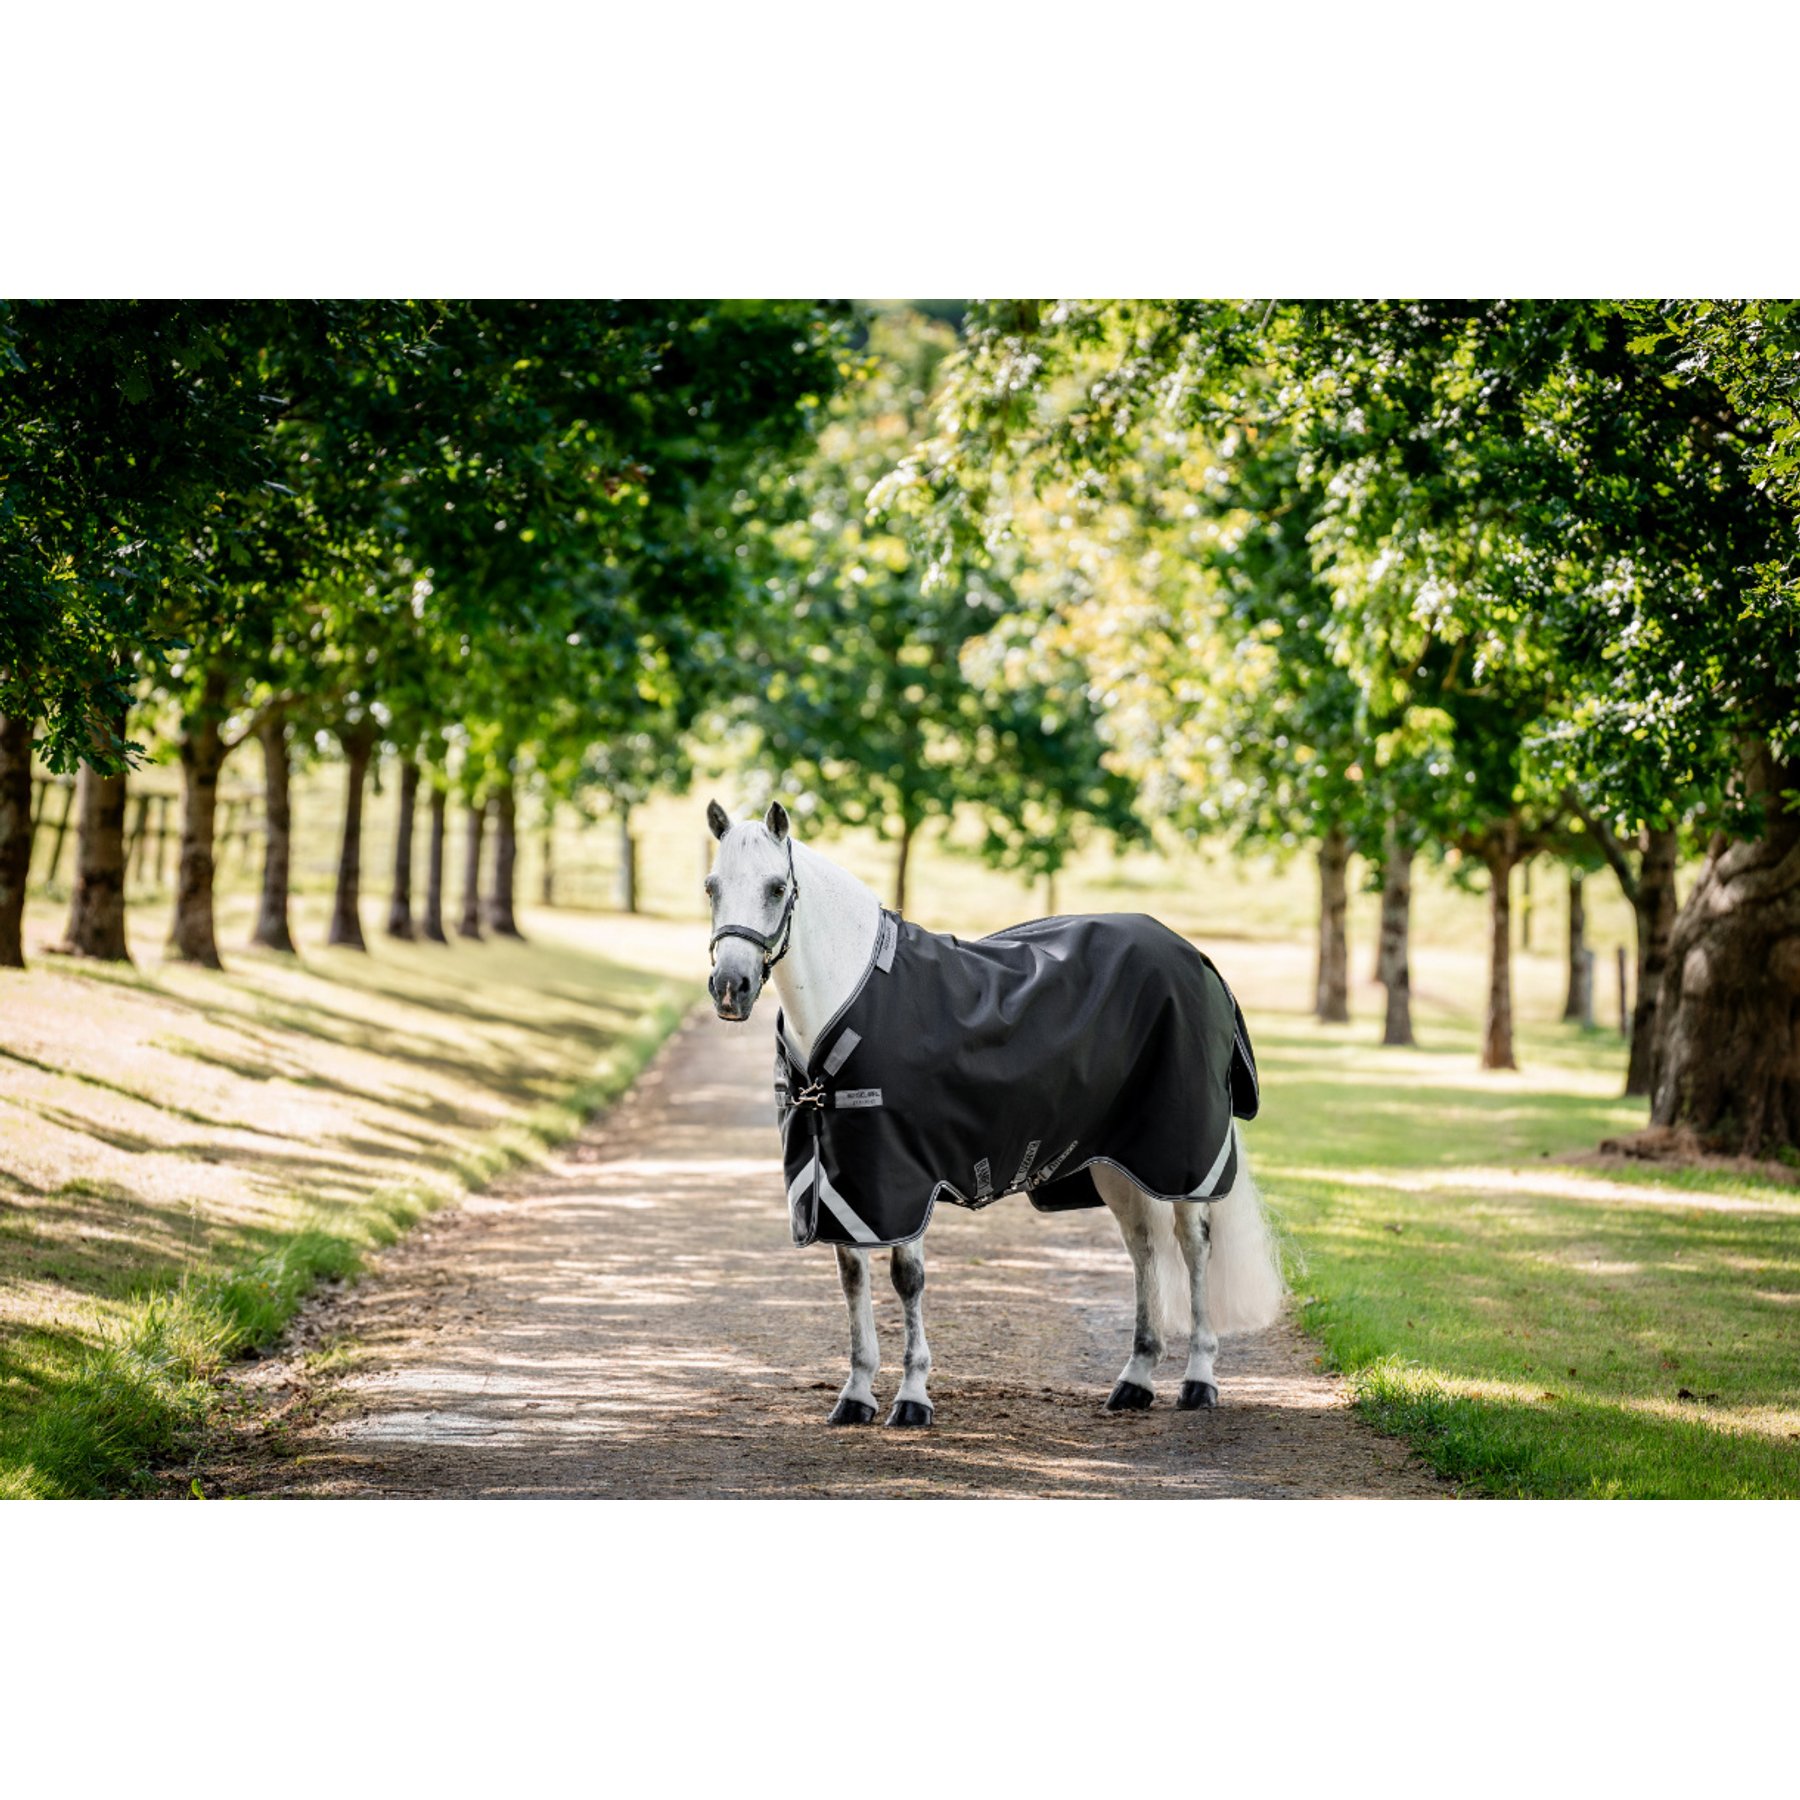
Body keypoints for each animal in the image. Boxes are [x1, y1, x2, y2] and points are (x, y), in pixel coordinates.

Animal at [702, 797, 1285, 1427]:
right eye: (712, 887)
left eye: (776, 887)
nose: (730, 987)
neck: (850, 999)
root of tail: (1195, 955)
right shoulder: (846, 1184)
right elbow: (852, 1276)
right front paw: (855, 1394)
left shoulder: (902, 1180)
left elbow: (907, 1279)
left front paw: (912, 1397)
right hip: (1115, 1160)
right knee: (1143, 1247)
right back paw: (1136, 1379)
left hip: (1182, 1155)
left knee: (1193, 1245)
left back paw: (1199, 1379)